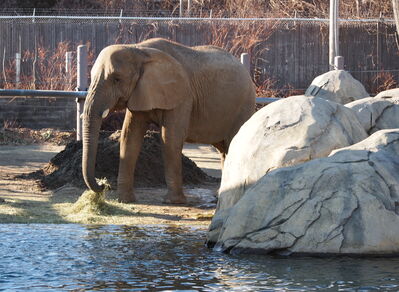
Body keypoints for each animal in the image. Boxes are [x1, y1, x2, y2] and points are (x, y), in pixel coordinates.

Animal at [82, 37, 255, 204]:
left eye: (117, 79)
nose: (103, 185)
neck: (138, 49)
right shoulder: (140, 92)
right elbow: (130, 137)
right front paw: (125, 200)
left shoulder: (183, 96)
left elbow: (171, 138)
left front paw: (174, 201)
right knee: (224, 148)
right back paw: (221, 195)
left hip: (244, 105)